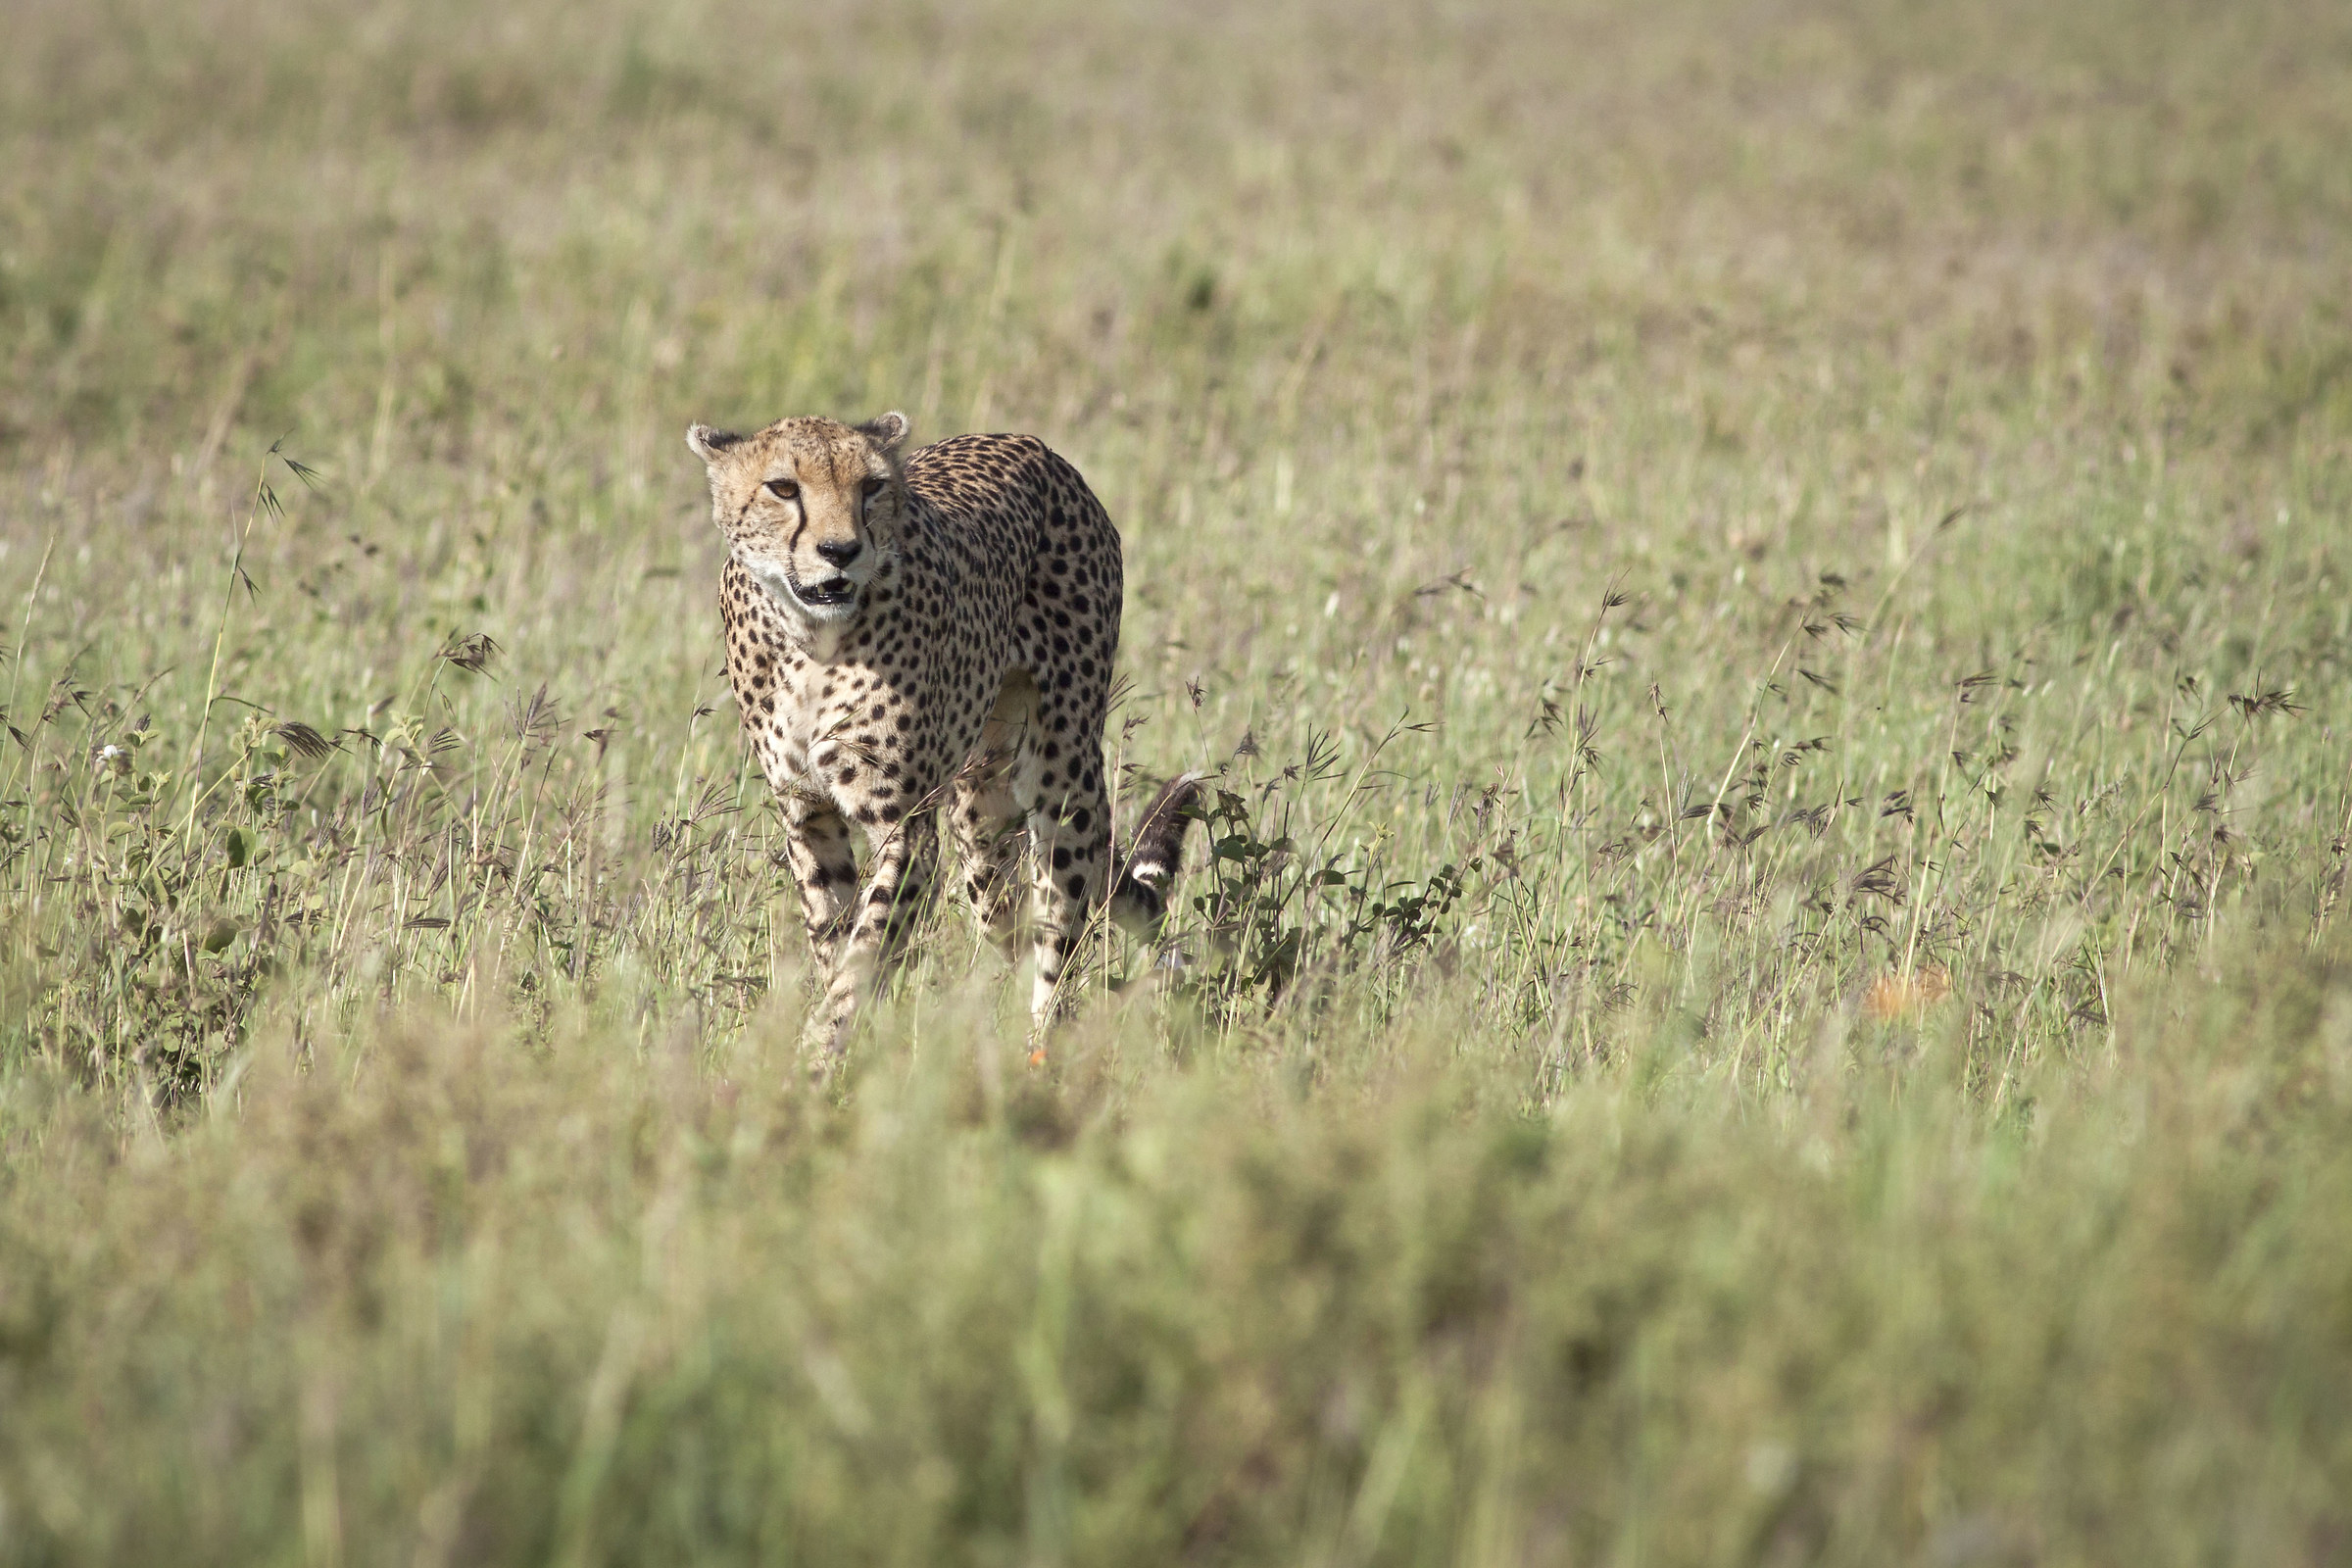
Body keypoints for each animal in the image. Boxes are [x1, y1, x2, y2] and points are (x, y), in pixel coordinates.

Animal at [685, 409, 1199, 1057]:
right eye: (782, 488)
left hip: (1062, 774)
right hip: (980, 815)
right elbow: (835, 937)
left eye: (871, 487)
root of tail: (1029, 443)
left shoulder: (904, 827)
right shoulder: (805, 810)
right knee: (1011, 922)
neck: (812, 638)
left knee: (1057, 931)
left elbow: (866, 951)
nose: (841, 551)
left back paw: (1044, 1050)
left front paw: (819, 1054)